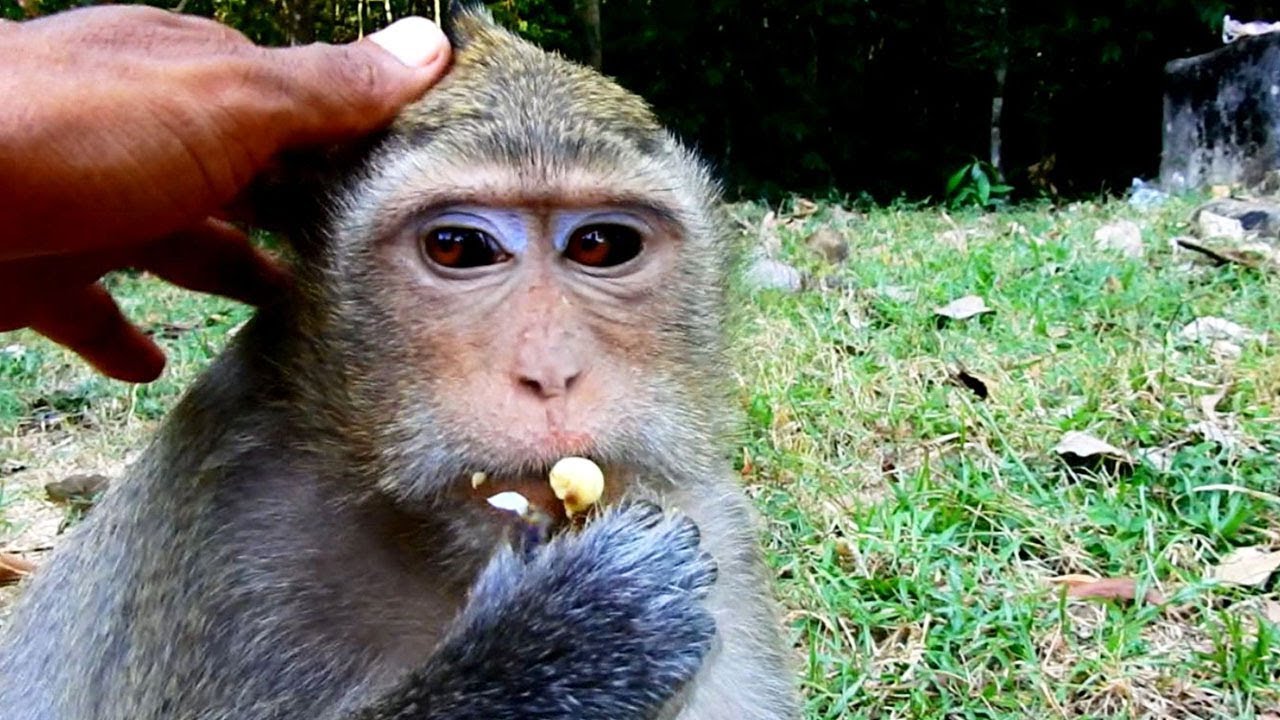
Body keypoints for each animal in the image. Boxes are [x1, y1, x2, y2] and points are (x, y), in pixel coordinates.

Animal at [0, 5, 798, 720]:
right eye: (461, 247)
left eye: (602, 245)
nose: (550, 372)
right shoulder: (235, 541)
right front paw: (567, 637)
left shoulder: (718, 526)